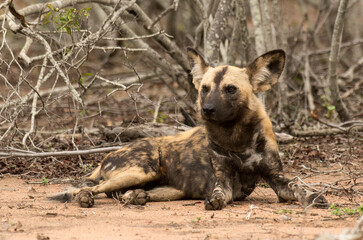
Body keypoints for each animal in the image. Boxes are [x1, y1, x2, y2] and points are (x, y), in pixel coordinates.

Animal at [52, 47, 330, 209]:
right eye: (204, 88)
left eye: (230, 89)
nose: (207, 109)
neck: (237, 138)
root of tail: (110, 154)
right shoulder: (223, 181)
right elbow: (220, 194)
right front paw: (214, 202)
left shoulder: (277, 178)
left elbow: (298, 187)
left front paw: (314, 197)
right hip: (140, 171)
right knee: (89, 188)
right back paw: (86, 198)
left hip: (169, 188)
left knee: (126, 193)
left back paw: (136, 197)